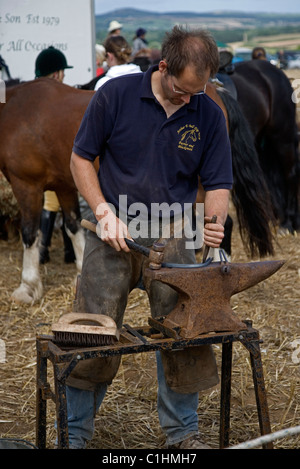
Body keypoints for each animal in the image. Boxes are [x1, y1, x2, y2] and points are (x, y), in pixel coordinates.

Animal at [0, 77, 274, 304]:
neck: (16, 107)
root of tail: (216, 90)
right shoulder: (64, 185)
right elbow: (73, 225)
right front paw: (79, 269)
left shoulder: (27, 185)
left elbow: (30, 233)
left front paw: (28, 286)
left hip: (202, 190)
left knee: (218, 224)